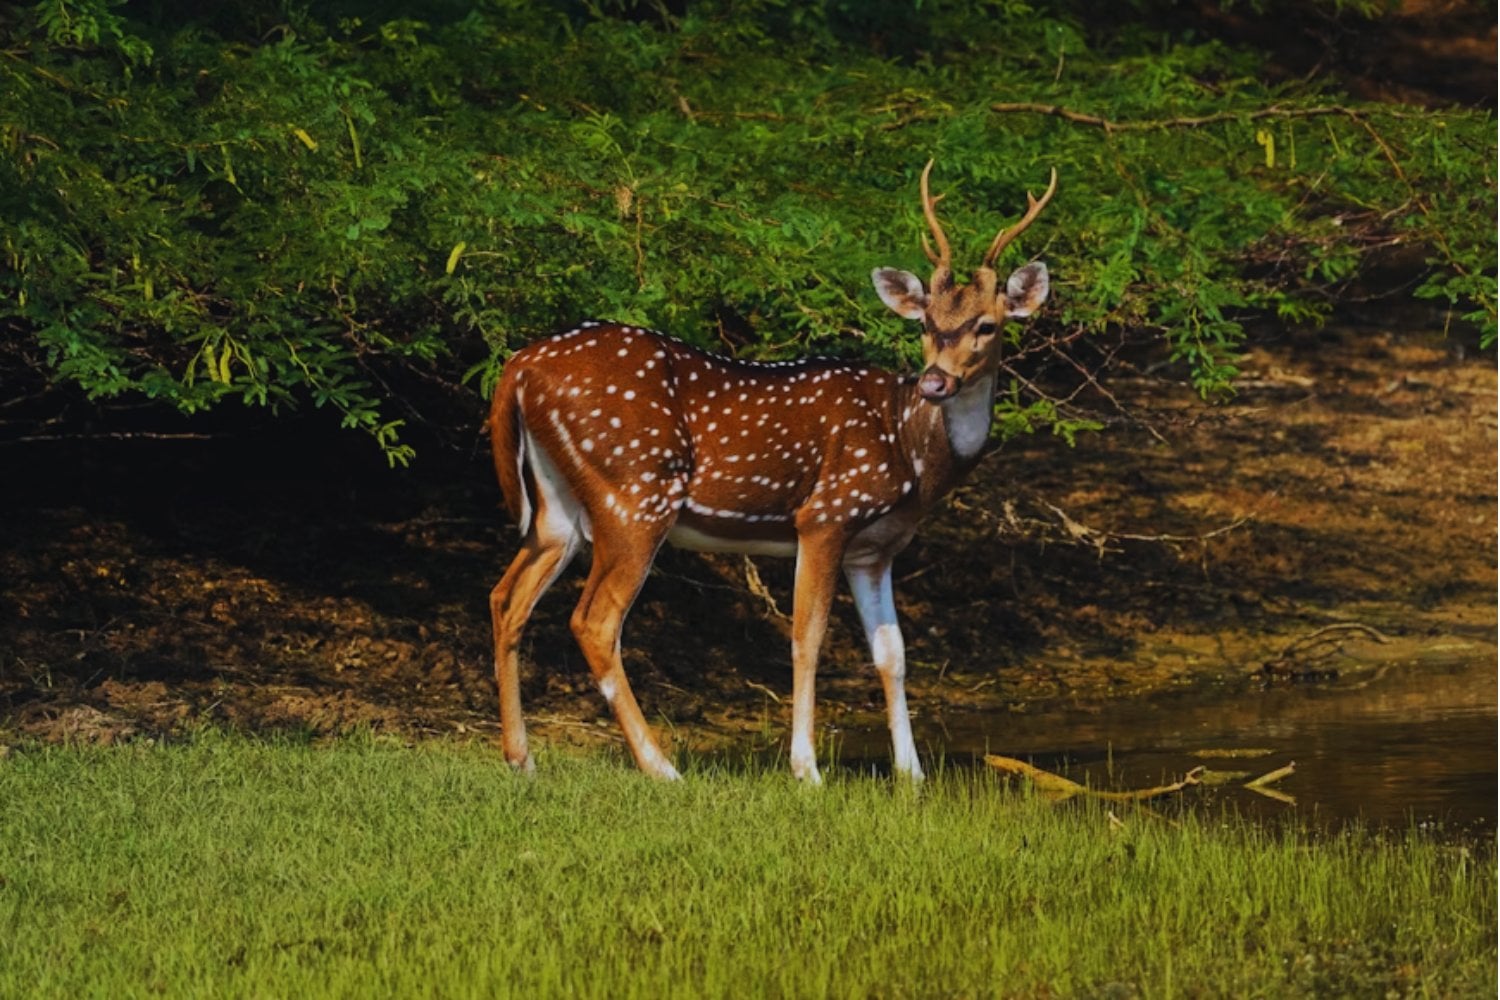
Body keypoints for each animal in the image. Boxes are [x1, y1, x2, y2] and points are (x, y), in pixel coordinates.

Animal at [486, 160, 1056, 783]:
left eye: (986, 325)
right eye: (926, 322)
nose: (935, 381)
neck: (910, 450)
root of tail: (517, 368)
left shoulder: (874, 548)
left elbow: (893, 653)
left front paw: (912, 775)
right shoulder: (826, 514)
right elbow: (808, 637)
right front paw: (807, 770)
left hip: (556, 505)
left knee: (506, 597)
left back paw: (521, 758)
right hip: (635, 491)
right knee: (594, 621)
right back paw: (661, 767)